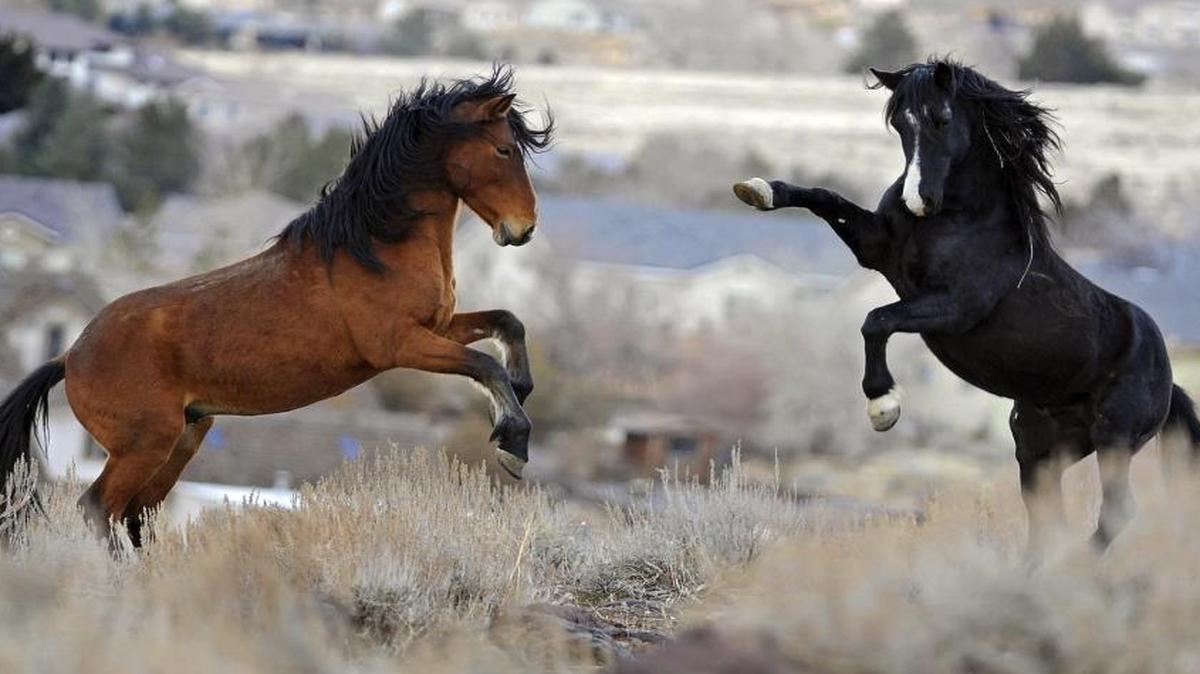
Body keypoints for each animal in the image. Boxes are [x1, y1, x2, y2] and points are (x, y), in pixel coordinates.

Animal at [0, 65, 553, 546]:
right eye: (503, 149)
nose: (523, 228)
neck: (375, 246)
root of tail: (69, 357)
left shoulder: (438, 326)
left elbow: (507, 323)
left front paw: (521, 392)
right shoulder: (401, 345)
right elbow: (483, 364)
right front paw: (513, 443)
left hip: (185, 436)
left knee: (137, 514)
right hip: (145, 444)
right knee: (99, 508)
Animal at [734, 59, 1200, 552]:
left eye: (941, 119)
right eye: (900, 124)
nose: (918, 200)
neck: (957, 220)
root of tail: (1169, 380)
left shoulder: (953, 309)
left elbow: (876, 320)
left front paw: (883, 406)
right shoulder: (875, 248)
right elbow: (827, 198)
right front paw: (759, 190)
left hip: (1114, 437)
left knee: (1117, 512)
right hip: (1041, 450)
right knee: (1048, 519)